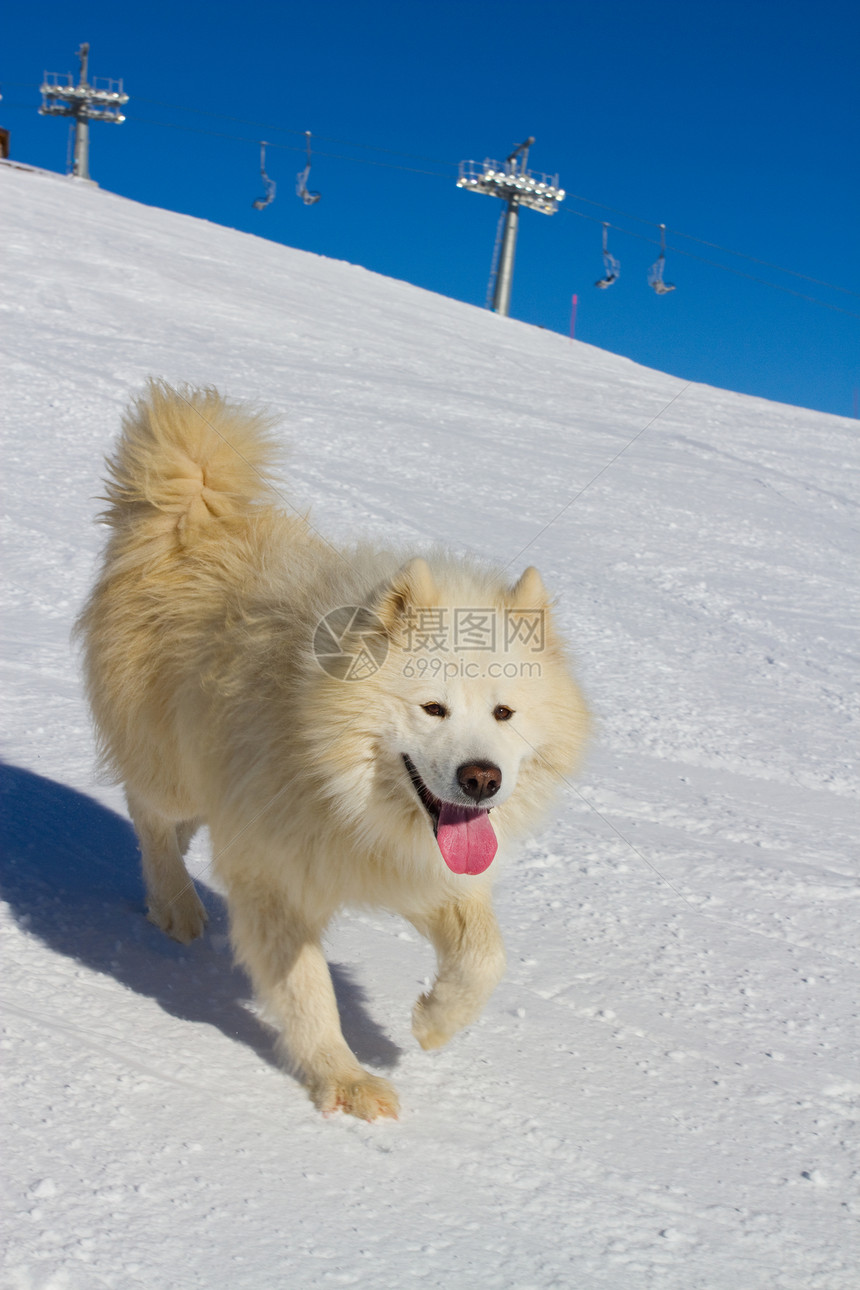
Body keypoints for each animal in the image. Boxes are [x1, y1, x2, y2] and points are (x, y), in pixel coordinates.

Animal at [77, 381, 587, 1119]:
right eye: (432, 708)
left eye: (503, 713)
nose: (481, 779)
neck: (336, 780)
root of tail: (188, 520)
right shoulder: (275, 880)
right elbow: (309, 995)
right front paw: (345, 1084)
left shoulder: (412, 866)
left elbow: (485, 955)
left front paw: (433, 1024)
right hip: (173, 771)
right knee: (147, 814)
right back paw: (176, 904)